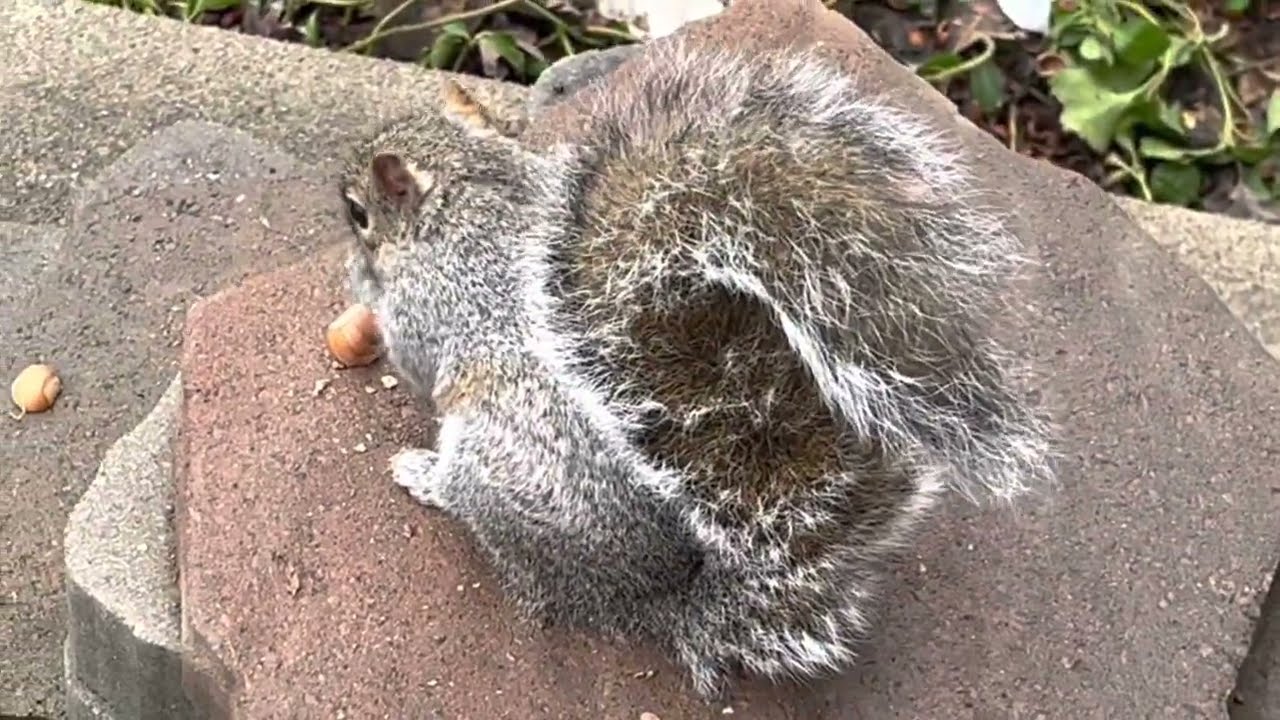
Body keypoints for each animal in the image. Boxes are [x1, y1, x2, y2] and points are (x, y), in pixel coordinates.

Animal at [339, 39, 1054, 700]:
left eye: (357, 210)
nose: (343, 226)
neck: (478, 187)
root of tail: (659, 593)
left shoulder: (435, 302)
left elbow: (416, 356)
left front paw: (362, 286)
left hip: (493, 461)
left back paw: (425, 475)